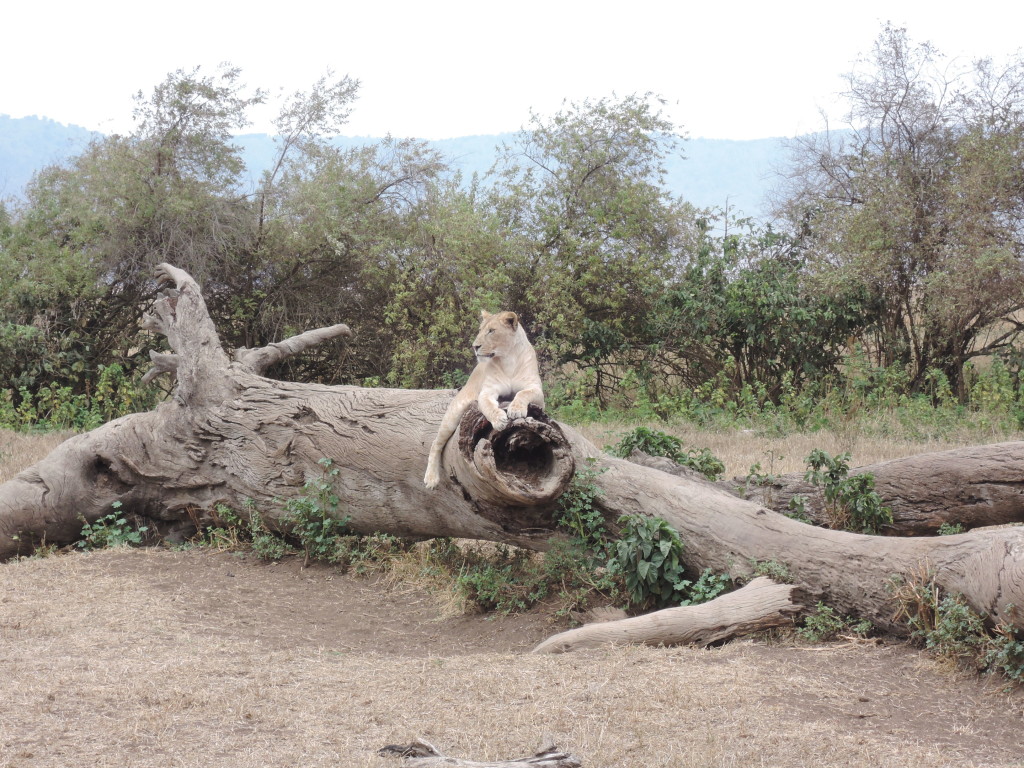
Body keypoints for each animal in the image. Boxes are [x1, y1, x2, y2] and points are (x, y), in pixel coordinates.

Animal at [421, 309, 544, 489]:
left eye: (491, 331)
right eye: (480, 330)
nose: (475, 346)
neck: (508, 359)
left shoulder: (537, 391)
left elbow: (523, 393)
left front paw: (516, 410)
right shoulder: (487, 391)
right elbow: (487, 406)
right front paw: (499, 419)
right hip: (454, 412)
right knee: (435, 443)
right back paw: (431, 478)